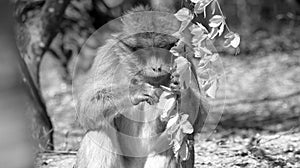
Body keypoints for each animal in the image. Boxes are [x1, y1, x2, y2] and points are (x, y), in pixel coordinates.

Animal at [75, 5, 207, 168]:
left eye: (160, 48)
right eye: (145, 50)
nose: (156, 67)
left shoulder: (184, 57)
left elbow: (197, 119)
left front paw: (181, 86)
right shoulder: (108, 56)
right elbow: (86, 108)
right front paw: (135, 91)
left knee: (176, 131)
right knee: (100, 127)